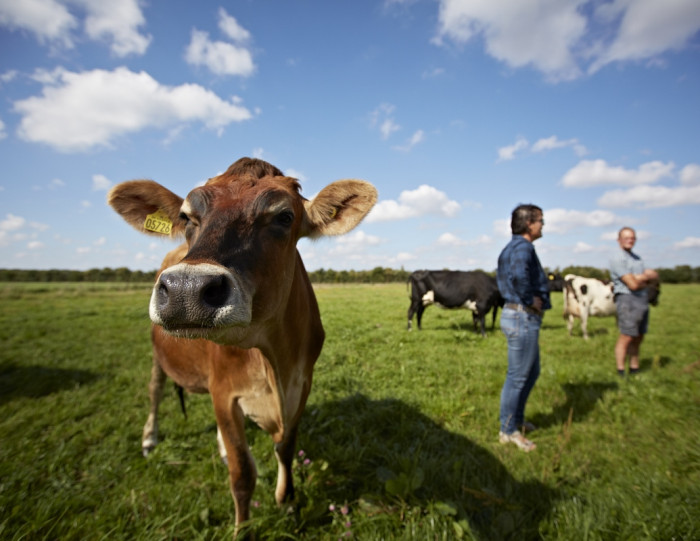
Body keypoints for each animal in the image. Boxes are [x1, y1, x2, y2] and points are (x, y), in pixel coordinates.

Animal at [106, 158, 374, 532]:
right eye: (187, 217)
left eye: (284, 217)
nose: (186, 289)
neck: (274, 363)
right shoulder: (225, 391)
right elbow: (243, 473)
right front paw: (243, 529)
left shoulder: (302, 385)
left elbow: (286, 449)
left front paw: (287, 503)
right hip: (160, 354)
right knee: (155, 389)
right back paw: (150, 438)